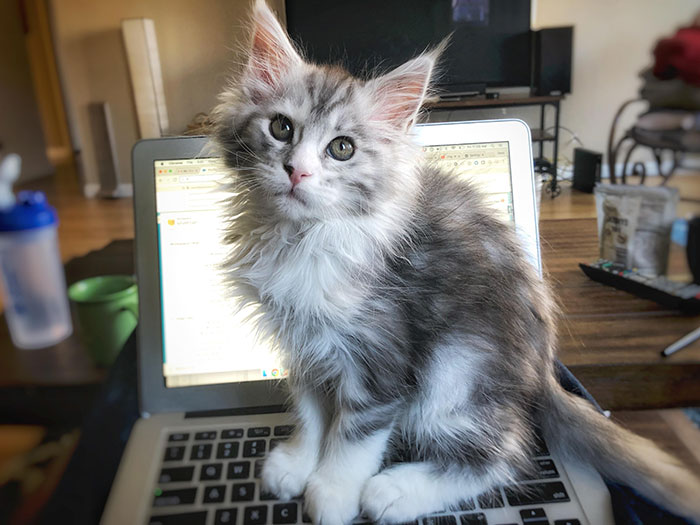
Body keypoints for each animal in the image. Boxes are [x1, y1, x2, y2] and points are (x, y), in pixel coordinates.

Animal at [212, 2, 700, 520]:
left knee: (503, 454)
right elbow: (309, 409)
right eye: (281, 128)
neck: (302, 237)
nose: (297, 171)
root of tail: (544, 372)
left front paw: (332, 493)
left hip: (456, 372)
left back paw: (395, 492)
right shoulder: (303, 342)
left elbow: (355, 434)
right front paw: (297, 463)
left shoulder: (381, 351)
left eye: (341, 148)